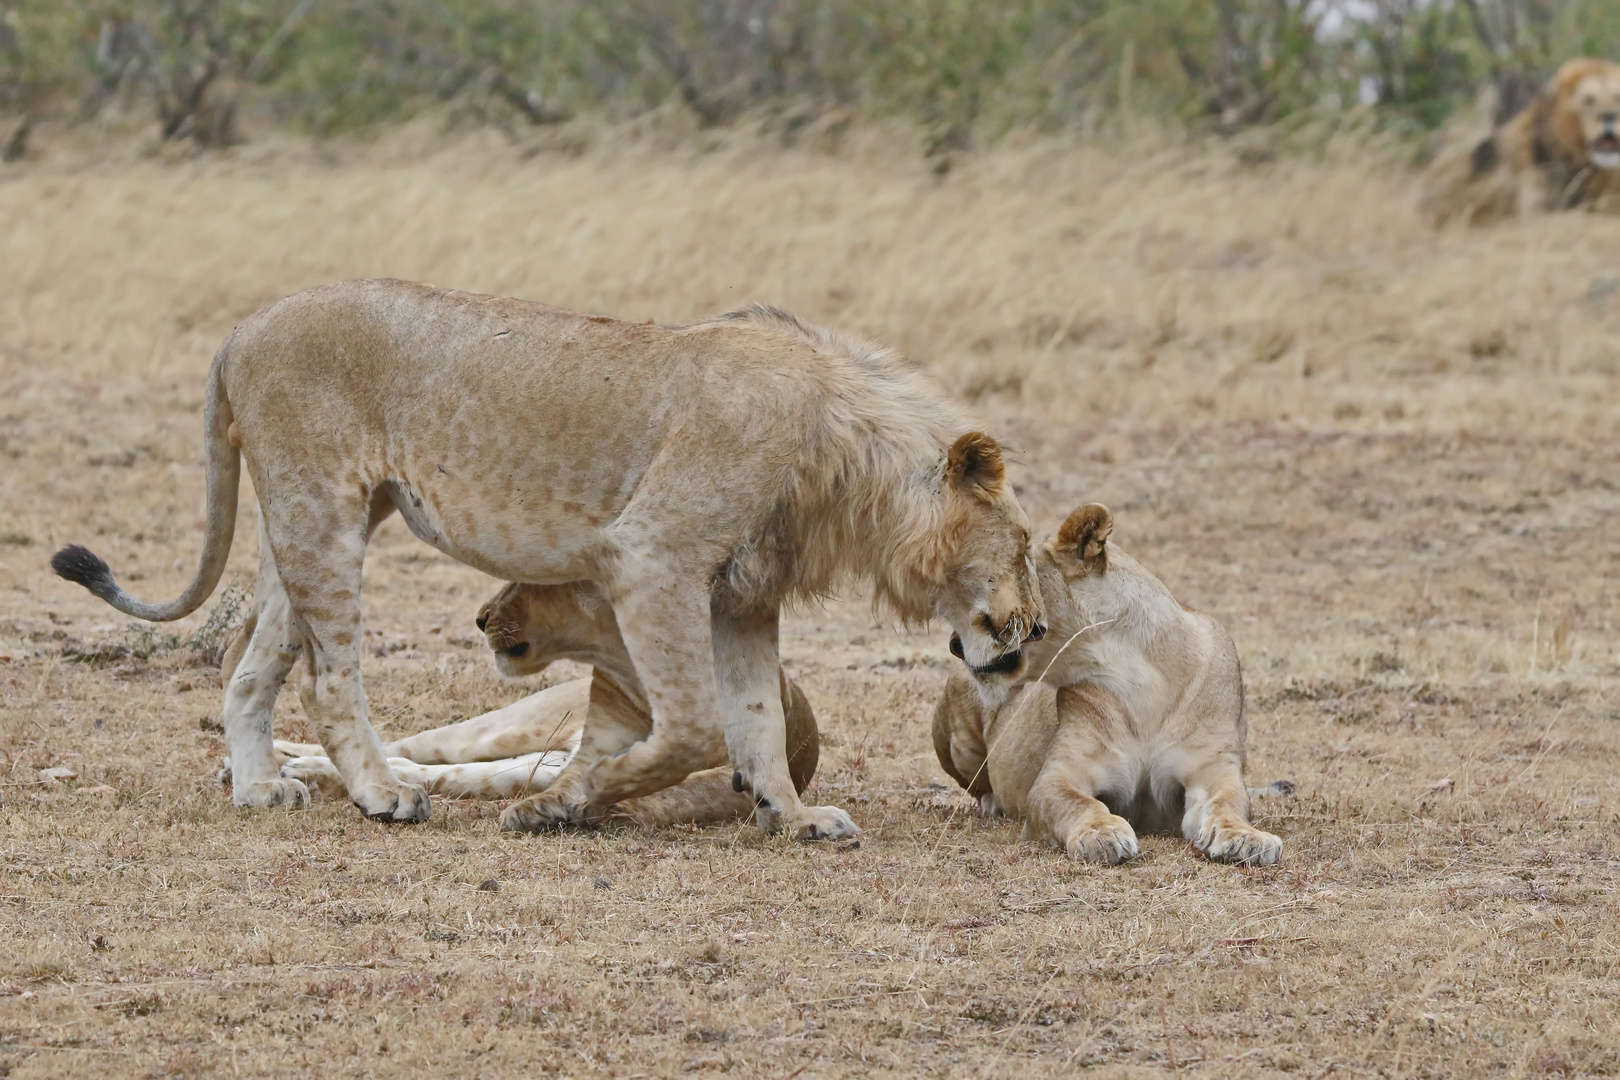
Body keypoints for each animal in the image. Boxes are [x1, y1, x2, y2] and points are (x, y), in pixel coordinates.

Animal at [933, 501, 1283, 867]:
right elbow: (1078, 803)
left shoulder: (1212, 768)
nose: (954, 645)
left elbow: (1229, 802)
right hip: (958, 743)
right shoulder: (1058, 777)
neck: (1138, 682)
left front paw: (1245, 839)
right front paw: (1102, 835)